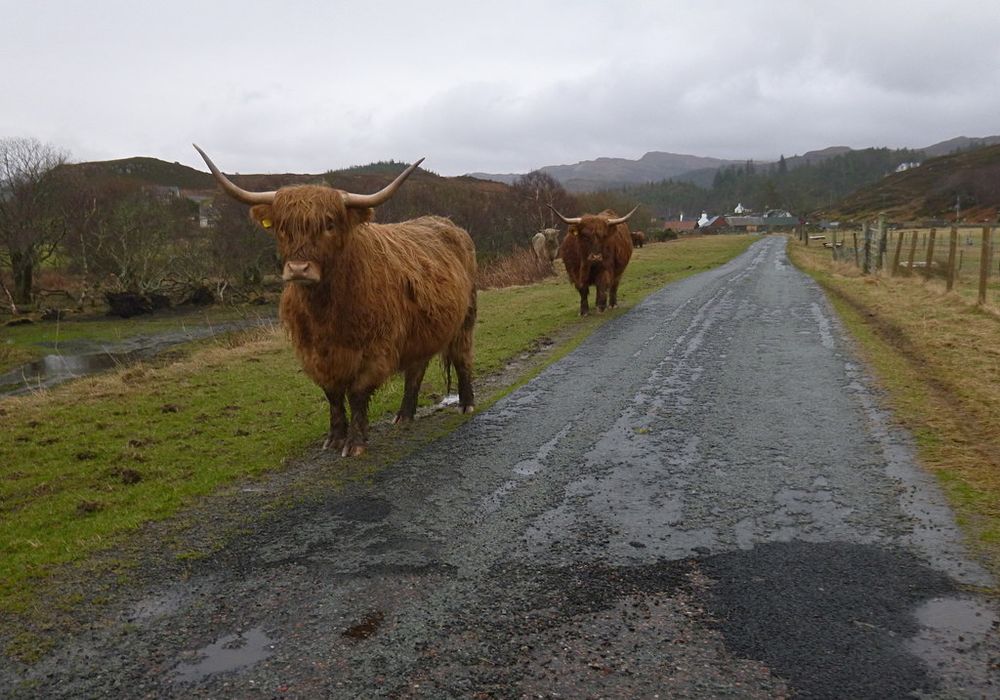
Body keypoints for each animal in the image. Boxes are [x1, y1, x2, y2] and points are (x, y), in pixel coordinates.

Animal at [194, 145, 477, 457]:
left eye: (329, 224)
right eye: (282, 227)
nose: (298, 269)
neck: (325, 311)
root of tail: (446, 223)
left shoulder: (375, 350)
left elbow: (357, 393)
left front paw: (355, 443)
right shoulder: (314, 354)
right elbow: (332, 395)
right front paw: (335, 438)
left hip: (465, 320)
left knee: (462, 357)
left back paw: (466, 404)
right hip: (423, 331)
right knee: (416, 369)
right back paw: (404, 415)